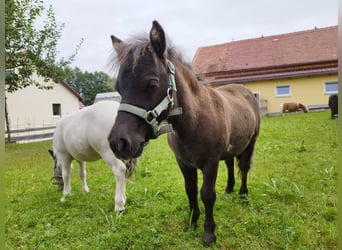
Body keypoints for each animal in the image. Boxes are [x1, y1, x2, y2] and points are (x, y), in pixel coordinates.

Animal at [107, 21, 260, 246]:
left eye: (152, 83)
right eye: (119, 88)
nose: (119, 142)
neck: (193, 122)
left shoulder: (210, 162)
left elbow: (207, 194)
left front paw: (209, 232)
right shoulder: (184, 163)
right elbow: (191, 191)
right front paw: (192, 222)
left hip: (250, 144)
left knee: (244, 167)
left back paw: (242, 195)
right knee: (231, 164)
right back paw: (229, 189)